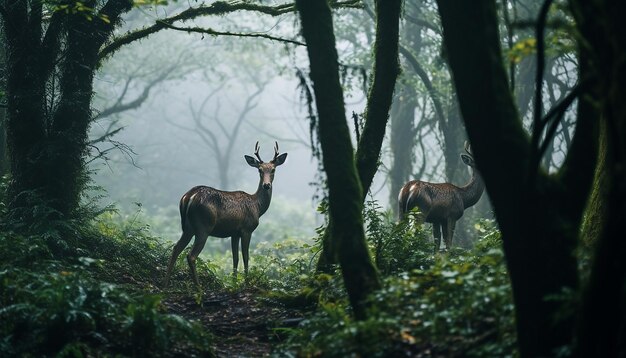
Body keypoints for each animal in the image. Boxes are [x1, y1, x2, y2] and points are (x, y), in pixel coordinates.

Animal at [162, 141, 286, 286]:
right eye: (259, 170)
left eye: (273, 169)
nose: (266, 185)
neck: (257, 207)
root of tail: (189, 196)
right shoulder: (247, 229)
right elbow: (246, 256)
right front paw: (246, 282)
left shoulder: (234, 233)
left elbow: (235, 258)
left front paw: (234, 283)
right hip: (203, 226)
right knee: (191, 255)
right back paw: (199, 287)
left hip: (187, 227)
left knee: (176, 248)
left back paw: (165, 284)